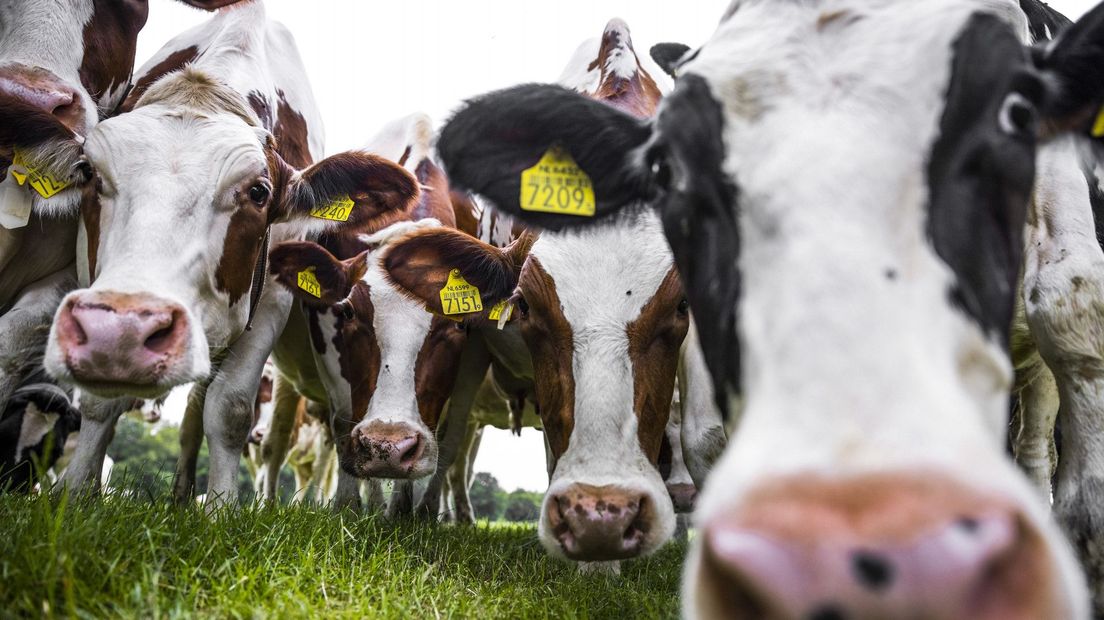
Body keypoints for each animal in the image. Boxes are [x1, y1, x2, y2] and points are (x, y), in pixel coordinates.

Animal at [41, 1, 417, 507]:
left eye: (259, 192)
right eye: (88, 172)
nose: (122, 332)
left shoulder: (275, 293)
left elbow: (231, 409)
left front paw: (220, 508)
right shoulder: (89, 273)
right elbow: (101, 402)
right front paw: (78, 492)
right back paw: (180, 492)